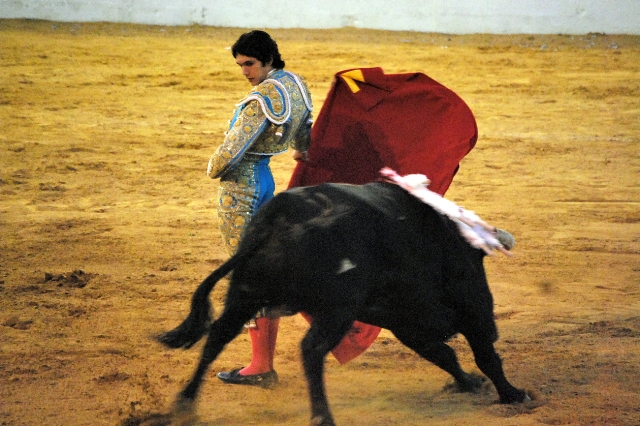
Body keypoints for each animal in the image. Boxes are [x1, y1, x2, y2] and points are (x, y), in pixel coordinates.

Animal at [158, 181, 528, 424]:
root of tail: (278, 219)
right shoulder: (470, 309)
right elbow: (484, 356)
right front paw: (513, 394)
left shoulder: (407, 323)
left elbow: (444, 354)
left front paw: (468, 384)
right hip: (337, 309)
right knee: (311, 349)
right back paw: (322, 416)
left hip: (246, 293)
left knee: (217, 335)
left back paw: (184, 403)